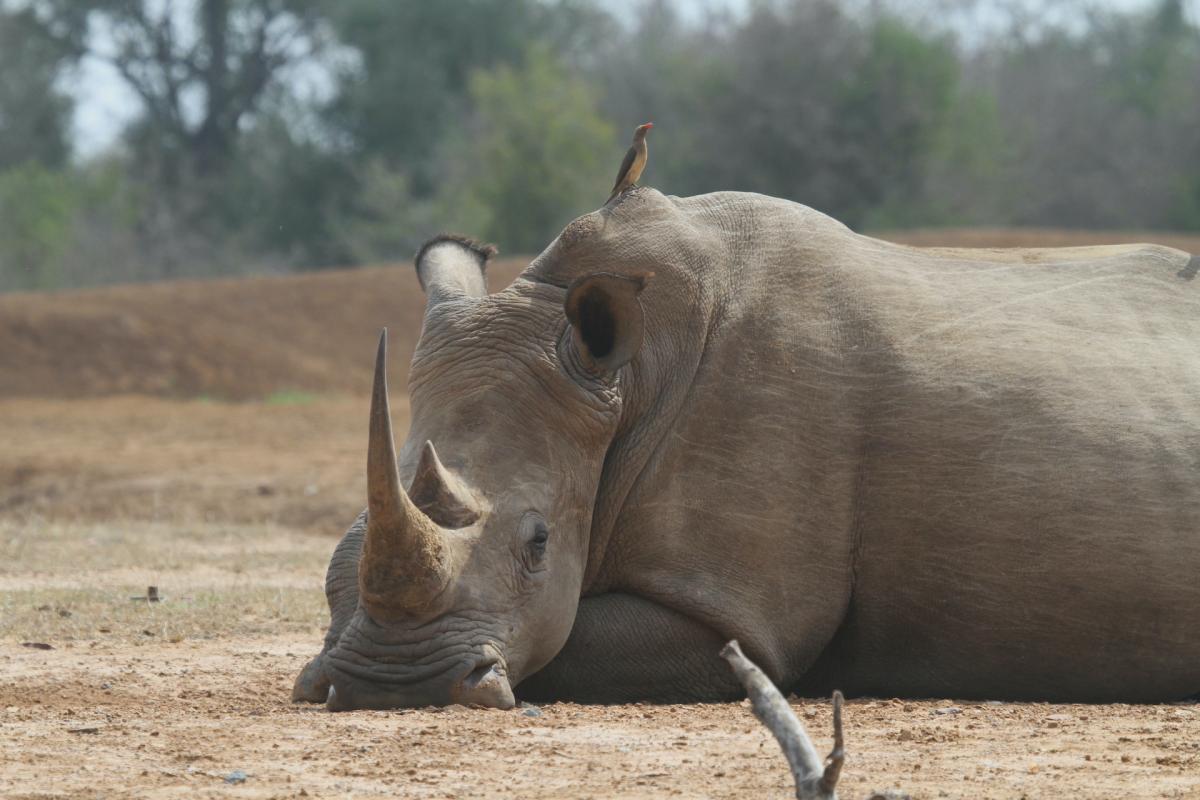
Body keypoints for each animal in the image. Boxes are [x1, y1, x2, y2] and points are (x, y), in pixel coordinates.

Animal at [293, 189, 1200, 710]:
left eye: (539, 545)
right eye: (339, 550)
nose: (390, 686)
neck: (626, 373)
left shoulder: (737, 612)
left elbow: (571, 642)